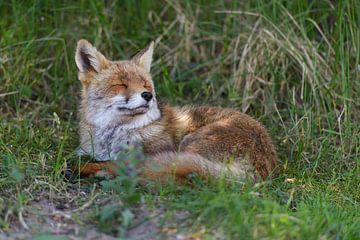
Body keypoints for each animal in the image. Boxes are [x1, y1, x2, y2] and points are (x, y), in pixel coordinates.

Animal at [75, 39, 278, 182]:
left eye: (145, 84)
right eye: (121, 84)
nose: (147, 95)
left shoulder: (150, 152)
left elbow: (113, 162)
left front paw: (91, 168)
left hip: (189, 145)